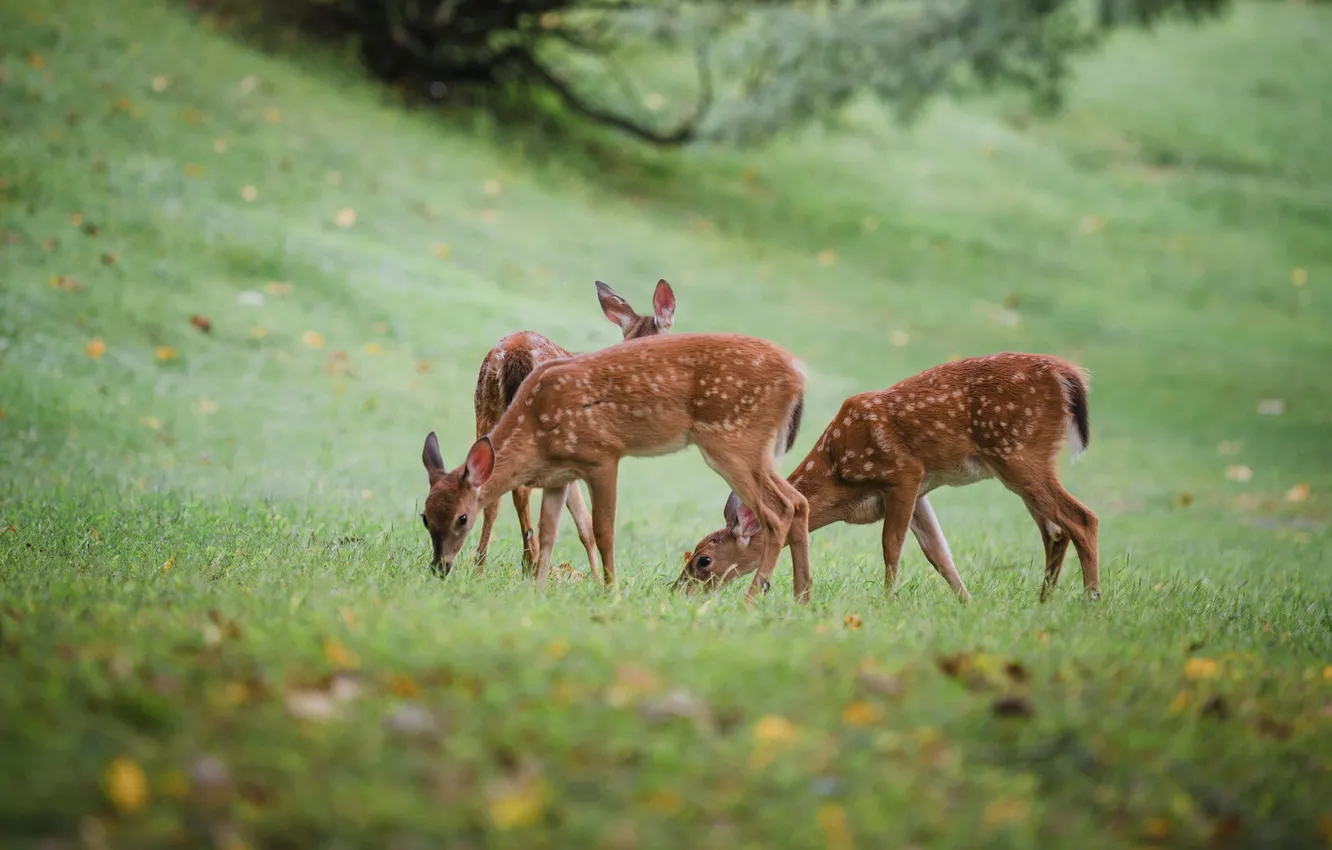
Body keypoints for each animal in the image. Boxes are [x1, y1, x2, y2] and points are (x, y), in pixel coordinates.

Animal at [421, 332, 813, 603]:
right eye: (424, 517)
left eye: (462, 518)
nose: (439, 567)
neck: (535, 426)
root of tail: (799, 376)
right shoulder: (559, 476)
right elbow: (549, 534)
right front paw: (538, 591)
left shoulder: (602, 455)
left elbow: (602, 530)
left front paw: (610, 591)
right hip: (754, 450)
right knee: (798, 501)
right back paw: (801, 600)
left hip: (733, 441)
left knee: (776, 511)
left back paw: (752, 598)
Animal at [460, 279, 676, 577]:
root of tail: (516, 352)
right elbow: (586, 524)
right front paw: (597, 579)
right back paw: (528, 562)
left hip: (485, 411)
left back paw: (481, 566)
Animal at [673, 352, 1099, 603]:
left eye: (704, 560)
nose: (677, 590)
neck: (838, 472)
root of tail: (1068, 375)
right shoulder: (923, 491)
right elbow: (938, 553)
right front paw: (966, 604)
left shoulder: (904, 473)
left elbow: (891, 546)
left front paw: (888, 600)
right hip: (1020, 463)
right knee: (1055, 532)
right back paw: (1044, 602)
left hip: (1020, 453)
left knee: (1081, 518)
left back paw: (1091, 601)